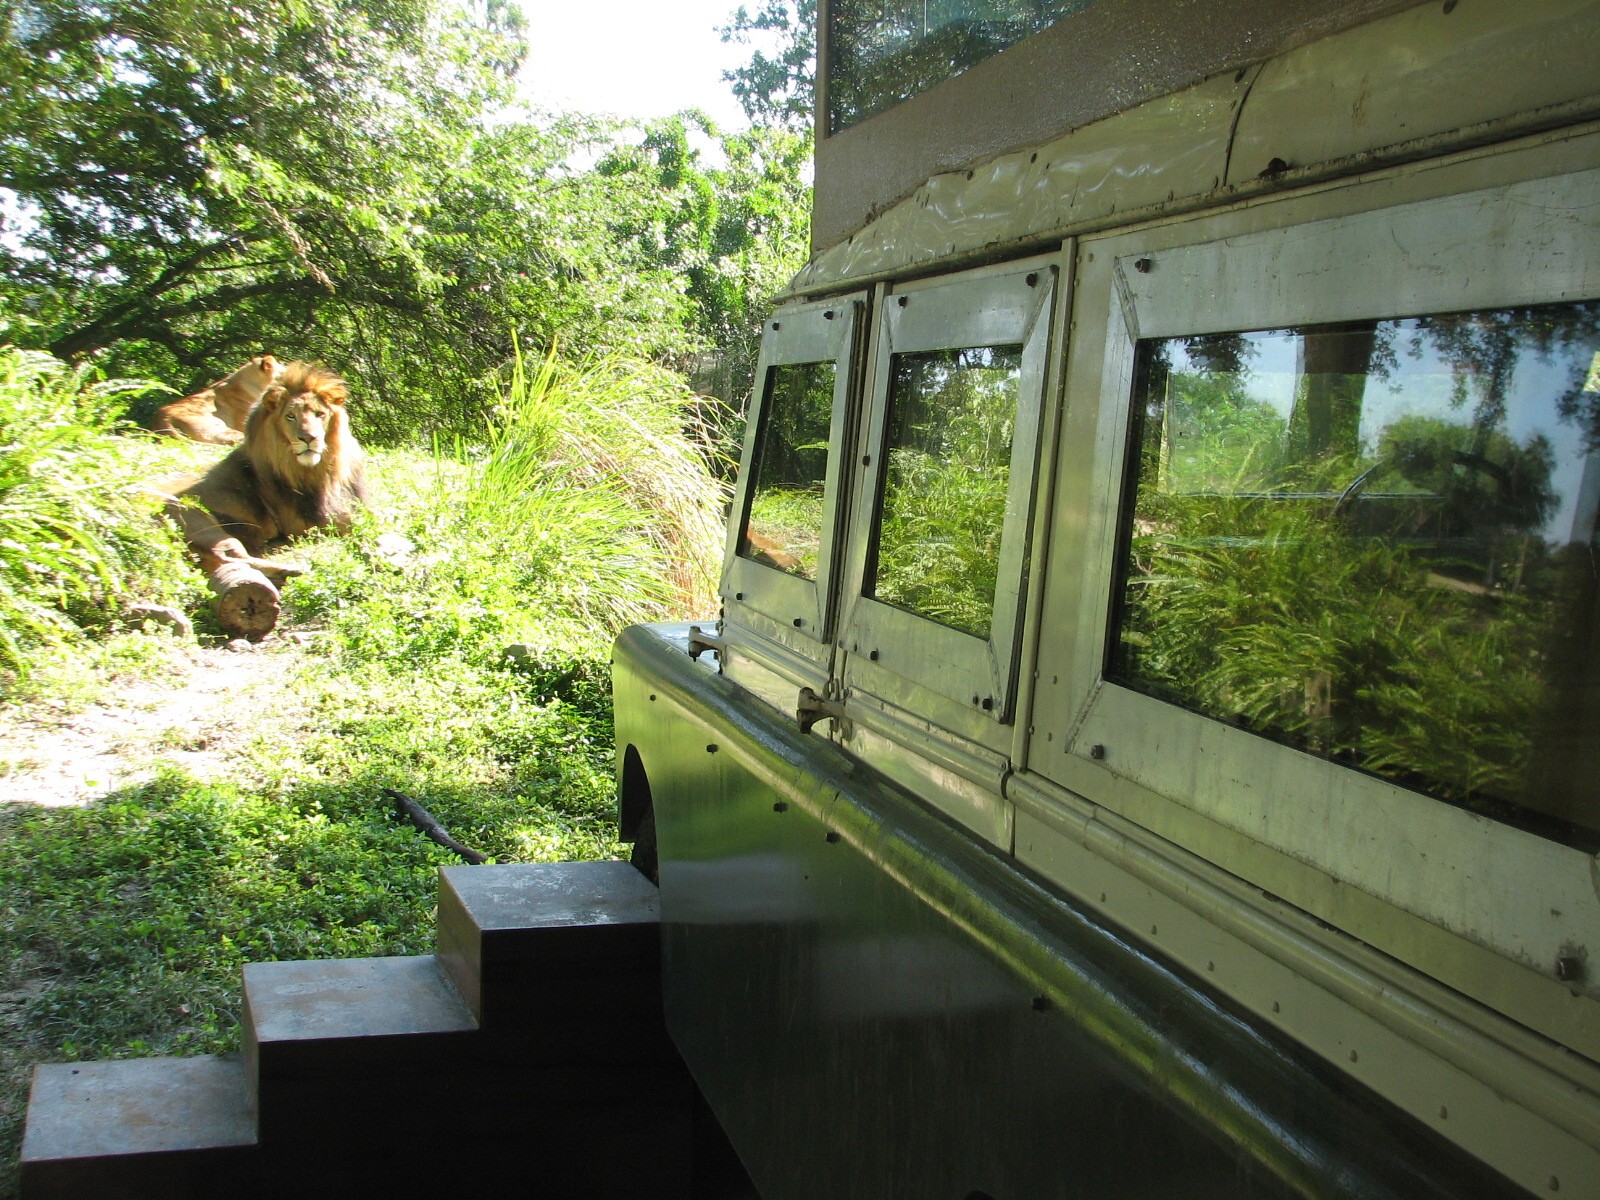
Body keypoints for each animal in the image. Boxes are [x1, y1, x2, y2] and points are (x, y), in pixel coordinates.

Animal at [163, 362, 366, 637]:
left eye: (320, 414)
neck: (323, 468)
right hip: (197, 520)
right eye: (290, 416)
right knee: (231, 556)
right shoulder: (304, 526)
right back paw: (291, 569)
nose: (309, 438)